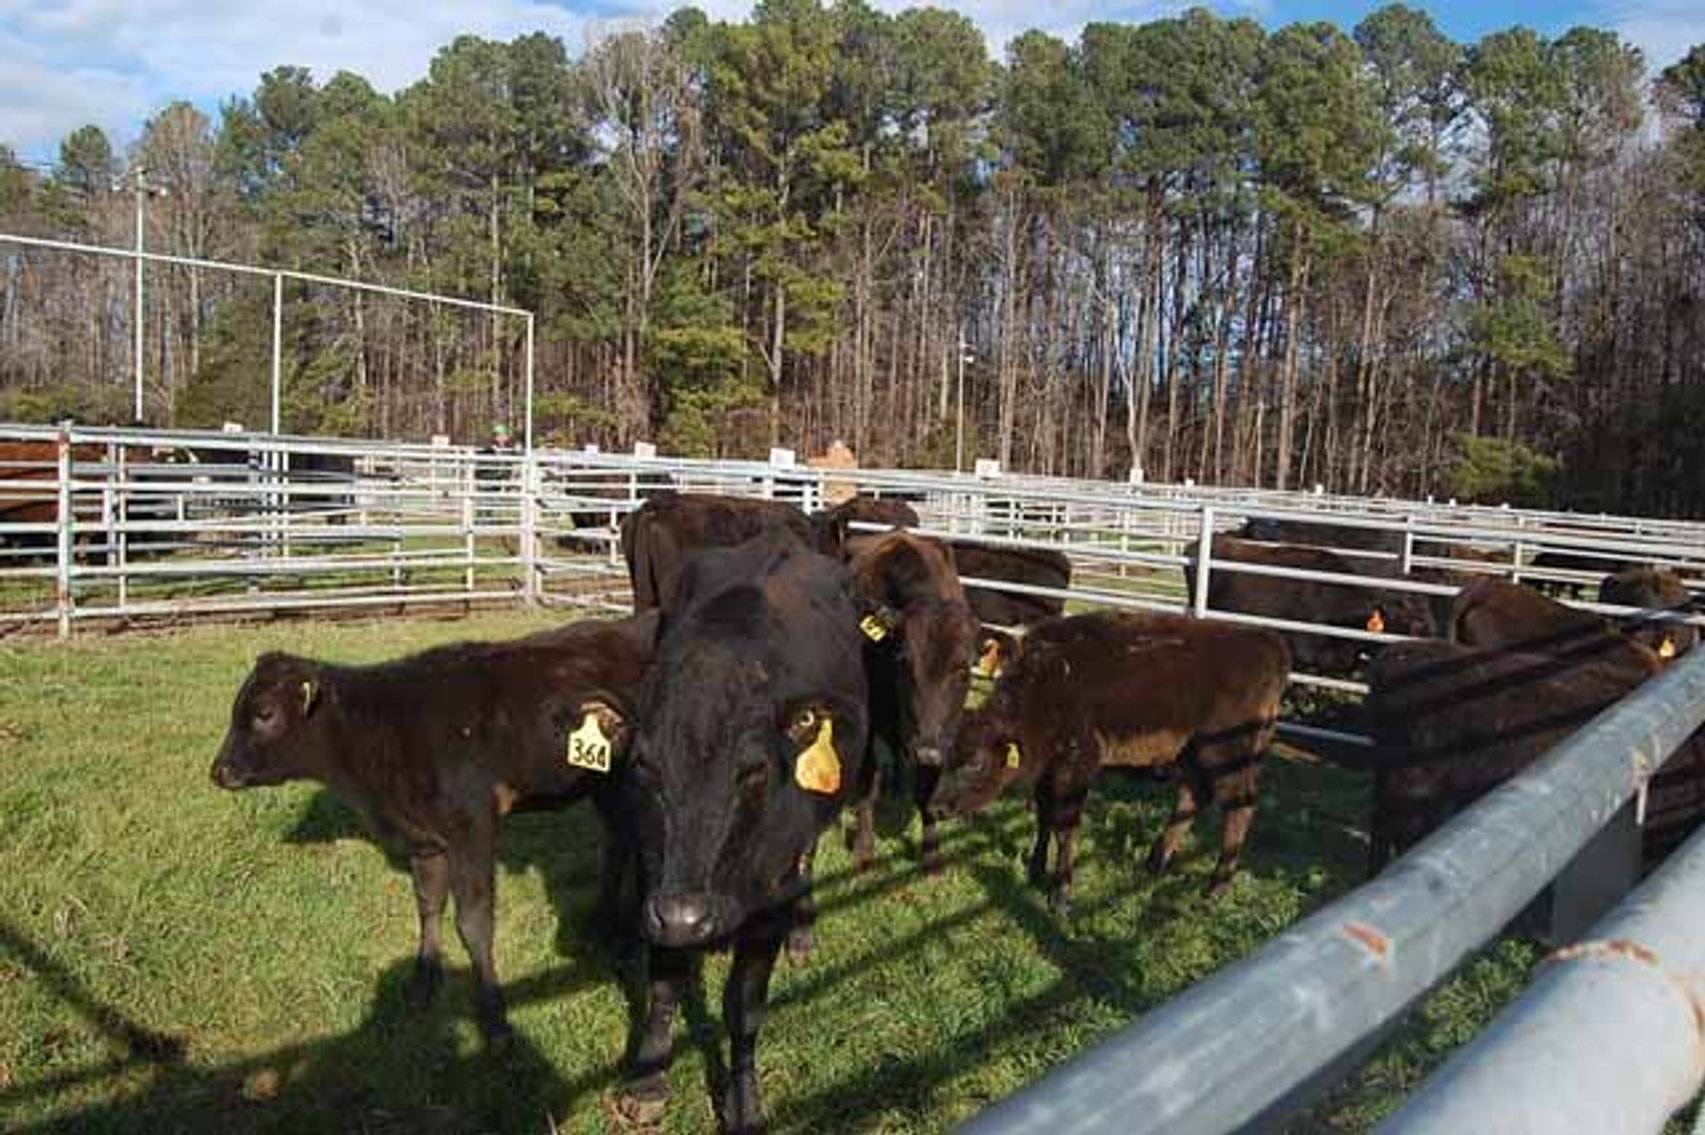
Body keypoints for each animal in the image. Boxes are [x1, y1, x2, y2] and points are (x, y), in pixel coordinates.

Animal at [208, 612, 658, 1042]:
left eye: (265, 713)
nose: (219, 771)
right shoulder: (425, 840)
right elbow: (427, 904)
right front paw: (422, 981)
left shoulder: (472, 829)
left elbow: (473, 923)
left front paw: (494, 1016)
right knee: (620, 841)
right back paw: (604, 926)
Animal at [614, 528, 868, 1134]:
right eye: (644, 766)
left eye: (751, 770)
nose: (689, 917)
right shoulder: (657, 881)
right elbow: (664, 980)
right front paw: (648, 1080)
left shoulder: (768, 897)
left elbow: (744, 1008)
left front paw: (744, 1106)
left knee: (808, 859)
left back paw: (804, 932)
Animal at [843, 531, 978, 876]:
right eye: (904, 661)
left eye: (963, 669)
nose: (924, 751)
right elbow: (866, 785)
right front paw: (864, 852)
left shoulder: (942, 734)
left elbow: (927, 788)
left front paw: (931, 852)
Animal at [934, 611, 1290, 910]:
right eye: (946, 758)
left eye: (975, 762)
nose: (936, 808)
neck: (1046, 684)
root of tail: (1266, 643)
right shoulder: (1050, 771)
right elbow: (1044, 818)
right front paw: (1035, 871)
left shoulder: (1076, 767)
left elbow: (1066, 827)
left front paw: (1060, 896)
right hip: (1192, 756)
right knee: (1192, 799)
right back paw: (1153, 865)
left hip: (1228, 755)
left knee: (1239, 807)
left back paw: (1213, 890)